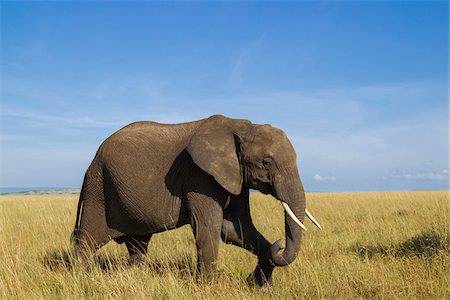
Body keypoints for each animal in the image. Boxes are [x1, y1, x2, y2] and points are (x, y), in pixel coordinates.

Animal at [71, 114, 320, 286]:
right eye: (267, 162)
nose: (280, 244)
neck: (240, 126)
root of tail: (93, 158)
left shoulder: (235, 178)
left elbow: (236, 229)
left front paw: (261, 286)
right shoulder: (198, 176)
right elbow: (209, 228)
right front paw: (207, 287)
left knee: (138, 244)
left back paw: (136, 276)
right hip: (99, 189)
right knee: (88, 240)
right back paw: (81, 276)